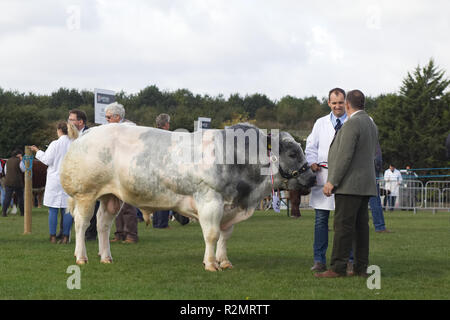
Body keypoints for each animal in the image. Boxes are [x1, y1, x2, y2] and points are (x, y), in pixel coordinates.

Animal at [60, 122, 316, 270]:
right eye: (293, 153)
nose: (313, 177)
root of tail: (86, 133)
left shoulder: (229, 207)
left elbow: (225, 236)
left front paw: (224, 261)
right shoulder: (210, 200)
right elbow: (212, 235)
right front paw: (211, 264)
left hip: (111, 197)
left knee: (102, 224)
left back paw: (106, 257)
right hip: (85, 194)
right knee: (82, 224)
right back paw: (81, 257)